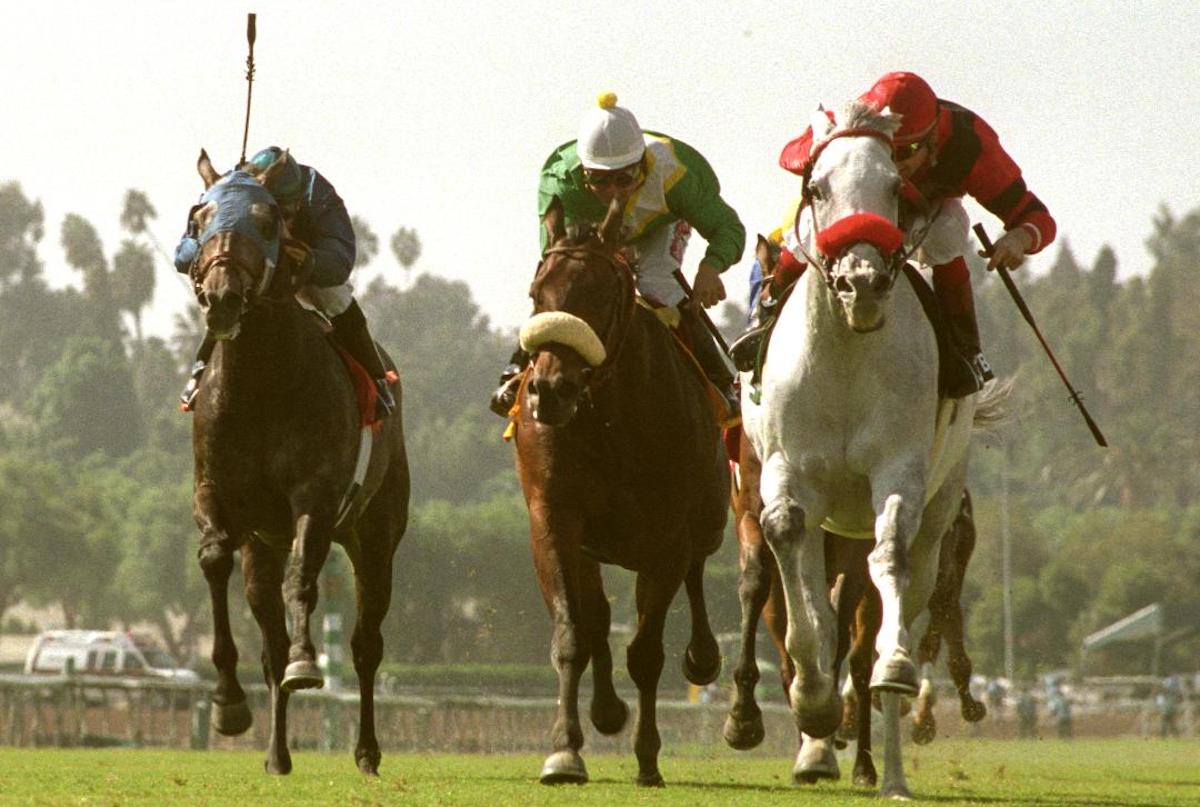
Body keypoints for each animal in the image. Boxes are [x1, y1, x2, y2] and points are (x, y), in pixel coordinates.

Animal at [184, 151, 410, 773]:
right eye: (198, 220)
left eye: (266, 223)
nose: (221, 297)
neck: (260, 382)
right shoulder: (217, 492)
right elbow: (214, 558)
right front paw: (227, 702)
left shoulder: (315, 494)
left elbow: (303, 578)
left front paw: (309, 662)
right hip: (263, 545)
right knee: (270, 645)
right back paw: (277, 754)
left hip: (375, 534)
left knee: (365, 645)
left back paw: (366, 750)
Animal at [511, 198, 724, 782]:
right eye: (537, 294)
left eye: (603, 295)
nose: (549, 390)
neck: (610, 415)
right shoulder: (554, 520)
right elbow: (573, 634)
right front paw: (565, 749)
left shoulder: (666, 537)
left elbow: (647, 653)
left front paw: (648, 756)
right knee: (598, 617)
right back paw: (605, 710)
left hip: (708, 521)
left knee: (698, 571)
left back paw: (704, 657)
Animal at [739, 99, 1003, 792]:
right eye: (817, 189)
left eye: (895, 188)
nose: (861, 282)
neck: (846, 353)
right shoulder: (787, 469)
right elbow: (787, 541)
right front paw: (813, 702)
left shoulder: (898, 469)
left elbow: (892, 553)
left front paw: (892, 667)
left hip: (943, 509)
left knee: (915, 591)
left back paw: (893, 769)